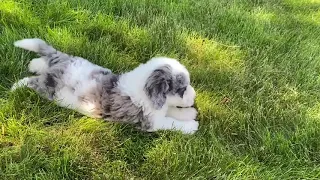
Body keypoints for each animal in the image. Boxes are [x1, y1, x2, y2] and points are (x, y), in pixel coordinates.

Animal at [11, 38, 199, 134]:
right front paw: (192, 126)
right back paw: (16, 87)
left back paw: (33, 64)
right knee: (30, 81)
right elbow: (172, 123)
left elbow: (174, 111)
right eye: (182, 89)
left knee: (43, 61)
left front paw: (190, 113)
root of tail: (63, 62)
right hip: (48, 88)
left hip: (58, 65)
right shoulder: (152, 122)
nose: (194, 97)